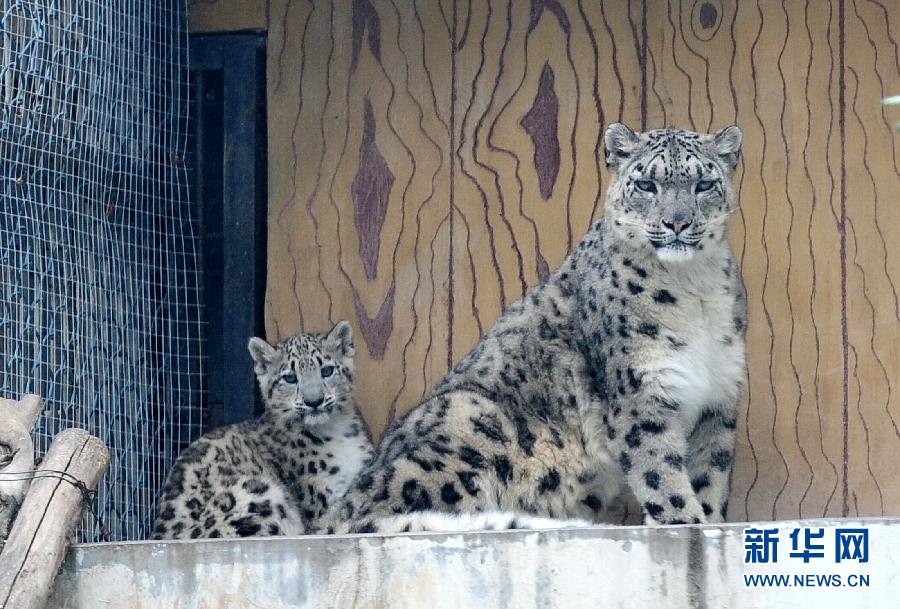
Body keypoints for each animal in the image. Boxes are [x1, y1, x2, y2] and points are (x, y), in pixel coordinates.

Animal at [151, 320, 372, 540]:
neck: (336, 429)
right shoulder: (320, 499)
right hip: (254, 496)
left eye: (327, 370)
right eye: (290, 378)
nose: (314, 401)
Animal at [318, 124, 744, 532]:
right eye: (646, 185)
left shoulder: (719, 396)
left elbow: (710, 471)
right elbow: (659, 471)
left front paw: (711, 523)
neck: (693, 288)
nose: (678, 222)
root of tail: (333, 516)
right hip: (469, 416)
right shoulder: (639, 390)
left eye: (704, 184)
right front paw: (685, 524)